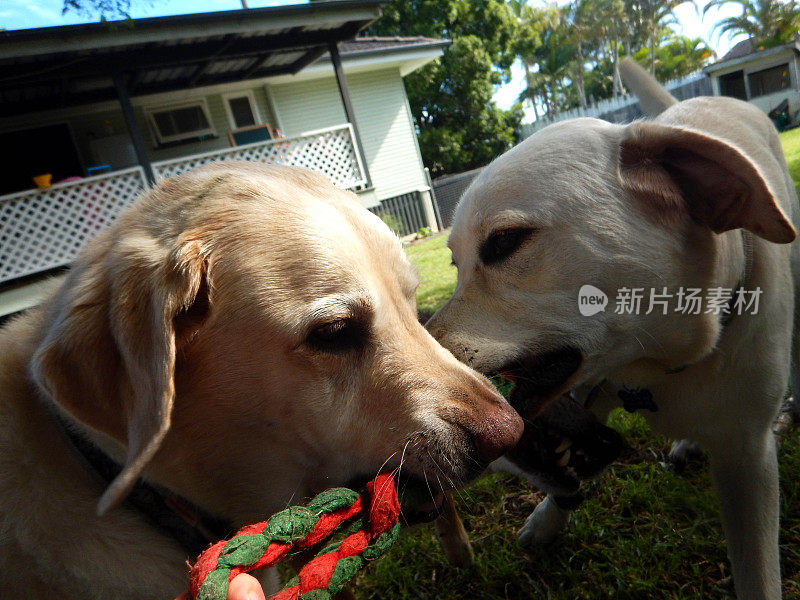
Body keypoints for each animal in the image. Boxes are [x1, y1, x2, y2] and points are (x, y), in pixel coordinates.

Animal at [432, 57, 800, 600]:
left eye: (504, 242)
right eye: (454, 264)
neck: (665, 366)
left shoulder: (747, 459)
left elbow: (757, 572)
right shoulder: (595, 387)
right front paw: (548, 519)